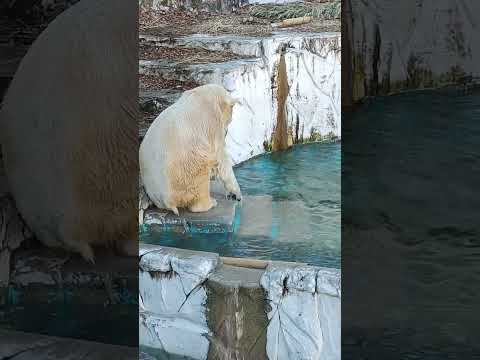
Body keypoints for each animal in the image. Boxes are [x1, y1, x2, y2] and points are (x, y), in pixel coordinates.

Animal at [141, 83, 242, 215]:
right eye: (230, 118)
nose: (227, 131)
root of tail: (166, 201)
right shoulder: (212, 122)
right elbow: (220, 156)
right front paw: (236, 193)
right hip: (186, 172)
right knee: (200, 174)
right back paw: (210, 202)